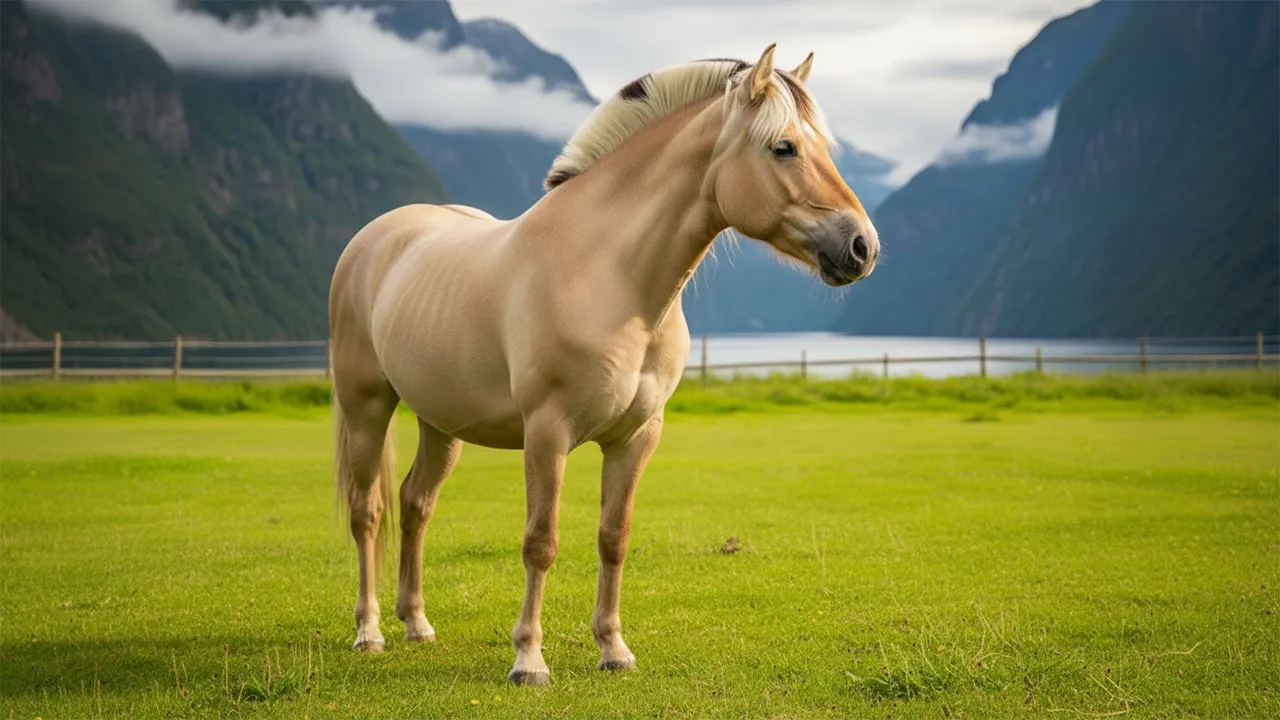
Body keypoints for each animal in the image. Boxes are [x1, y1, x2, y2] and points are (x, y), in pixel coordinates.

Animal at [327, 44, 880, 686]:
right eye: (784, 147)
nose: (862, 247)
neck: (608, 276)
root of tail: (376, 238)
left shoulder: (636, 436)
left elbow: (613, 536)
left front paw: (613, 649)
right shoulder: (547, 433)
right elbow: (541, 541)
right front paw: (528, 660)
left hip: (440, 423)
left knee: (416, 505)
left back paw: (416, 623)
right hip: (367, 407)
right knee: (368, 512)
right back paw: (369, 632)